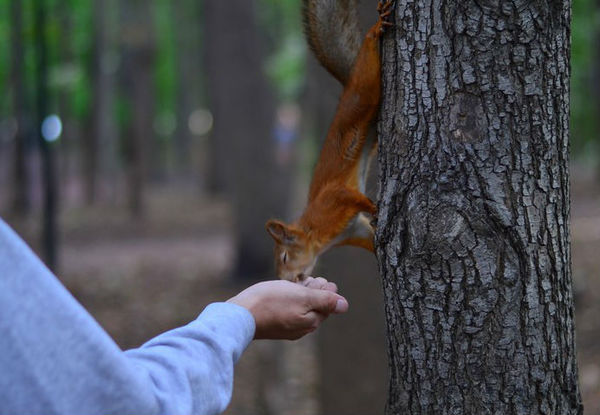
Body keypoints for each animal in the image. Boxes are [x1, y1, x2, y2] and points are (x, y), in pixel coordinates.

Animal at [264, 0, 392, 282]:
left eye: (285, 257)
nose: (289, 280)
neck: (317, 235)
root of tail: (347, 86)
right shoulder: (356, 231)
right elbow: (369, 239)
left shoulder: (333, 201)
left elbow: (351, 196)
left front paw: (374, 207)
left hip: (363, 93)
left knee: (367, 65)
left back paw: (376, 27)